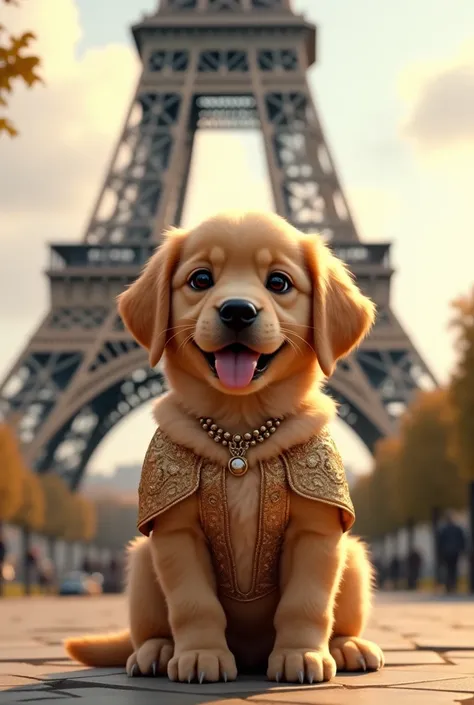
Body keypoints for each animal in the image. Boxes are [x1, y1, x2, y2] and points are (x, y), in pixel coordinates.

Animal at [65, 210, 384, 680]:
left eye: (279, 282)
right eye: (200, 279)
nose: (237, 310)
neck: (241, 440)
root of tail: (251, 655)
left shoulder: (317, 532)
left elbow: (306, 604)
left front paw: (300, 655)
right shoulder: (176, 533)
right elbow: (193, 605)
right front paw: (201, 655)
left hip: (355, 556)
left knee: (341, 618)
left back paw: (347, 648)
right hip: (141, 560)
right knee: (148, 629)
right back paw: (156, 652)